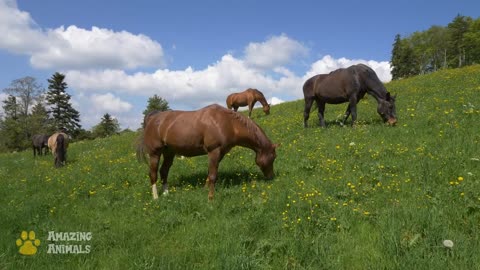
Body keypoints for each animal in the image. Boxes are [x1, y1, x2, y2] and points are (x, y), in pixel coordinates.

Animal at [136, 103, 278, 200]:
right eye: (273, 157)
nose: (271, 177)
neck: (228, 123)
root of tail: (153, 118)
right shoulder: (214, 151)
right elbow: (213, 175)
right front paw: (211, 197)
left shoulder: (220, 153)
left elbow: (210, 173)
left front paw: (205, 189)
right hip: (155, 153)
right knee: (153, 173)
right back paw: (156, 197)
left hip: (169, 153)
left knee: (164, 171)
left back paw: (166, 193)